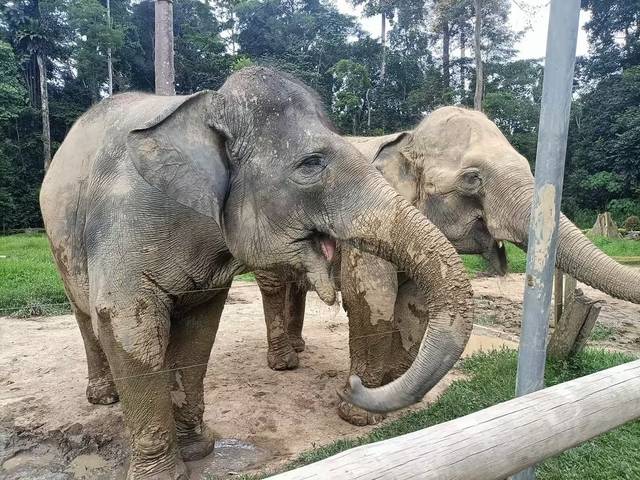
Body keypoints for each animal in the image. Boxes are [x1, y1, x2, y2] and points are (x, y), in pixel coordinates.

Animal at [39, 68, 474, 479]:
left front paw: (198, 451)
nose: (352, 386)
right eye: (311, 164)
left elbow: (198, 333)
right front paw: (163, 474)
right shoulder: (124, 223)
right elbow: (127, 324)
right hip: (58, 242)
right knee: (86, 316)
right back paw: (104, 397)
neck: (210, 108)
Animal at [257, 105, 640, 426]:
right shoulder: (365, 218)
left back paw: (298, 348)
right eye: (472, 178)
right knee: (273, 284)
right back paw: (284, 363)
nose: (348, 386)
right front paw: (358, 416)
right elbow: (374, 298)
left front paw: (393, 389)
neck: (407, 139)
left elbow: (413, 300)